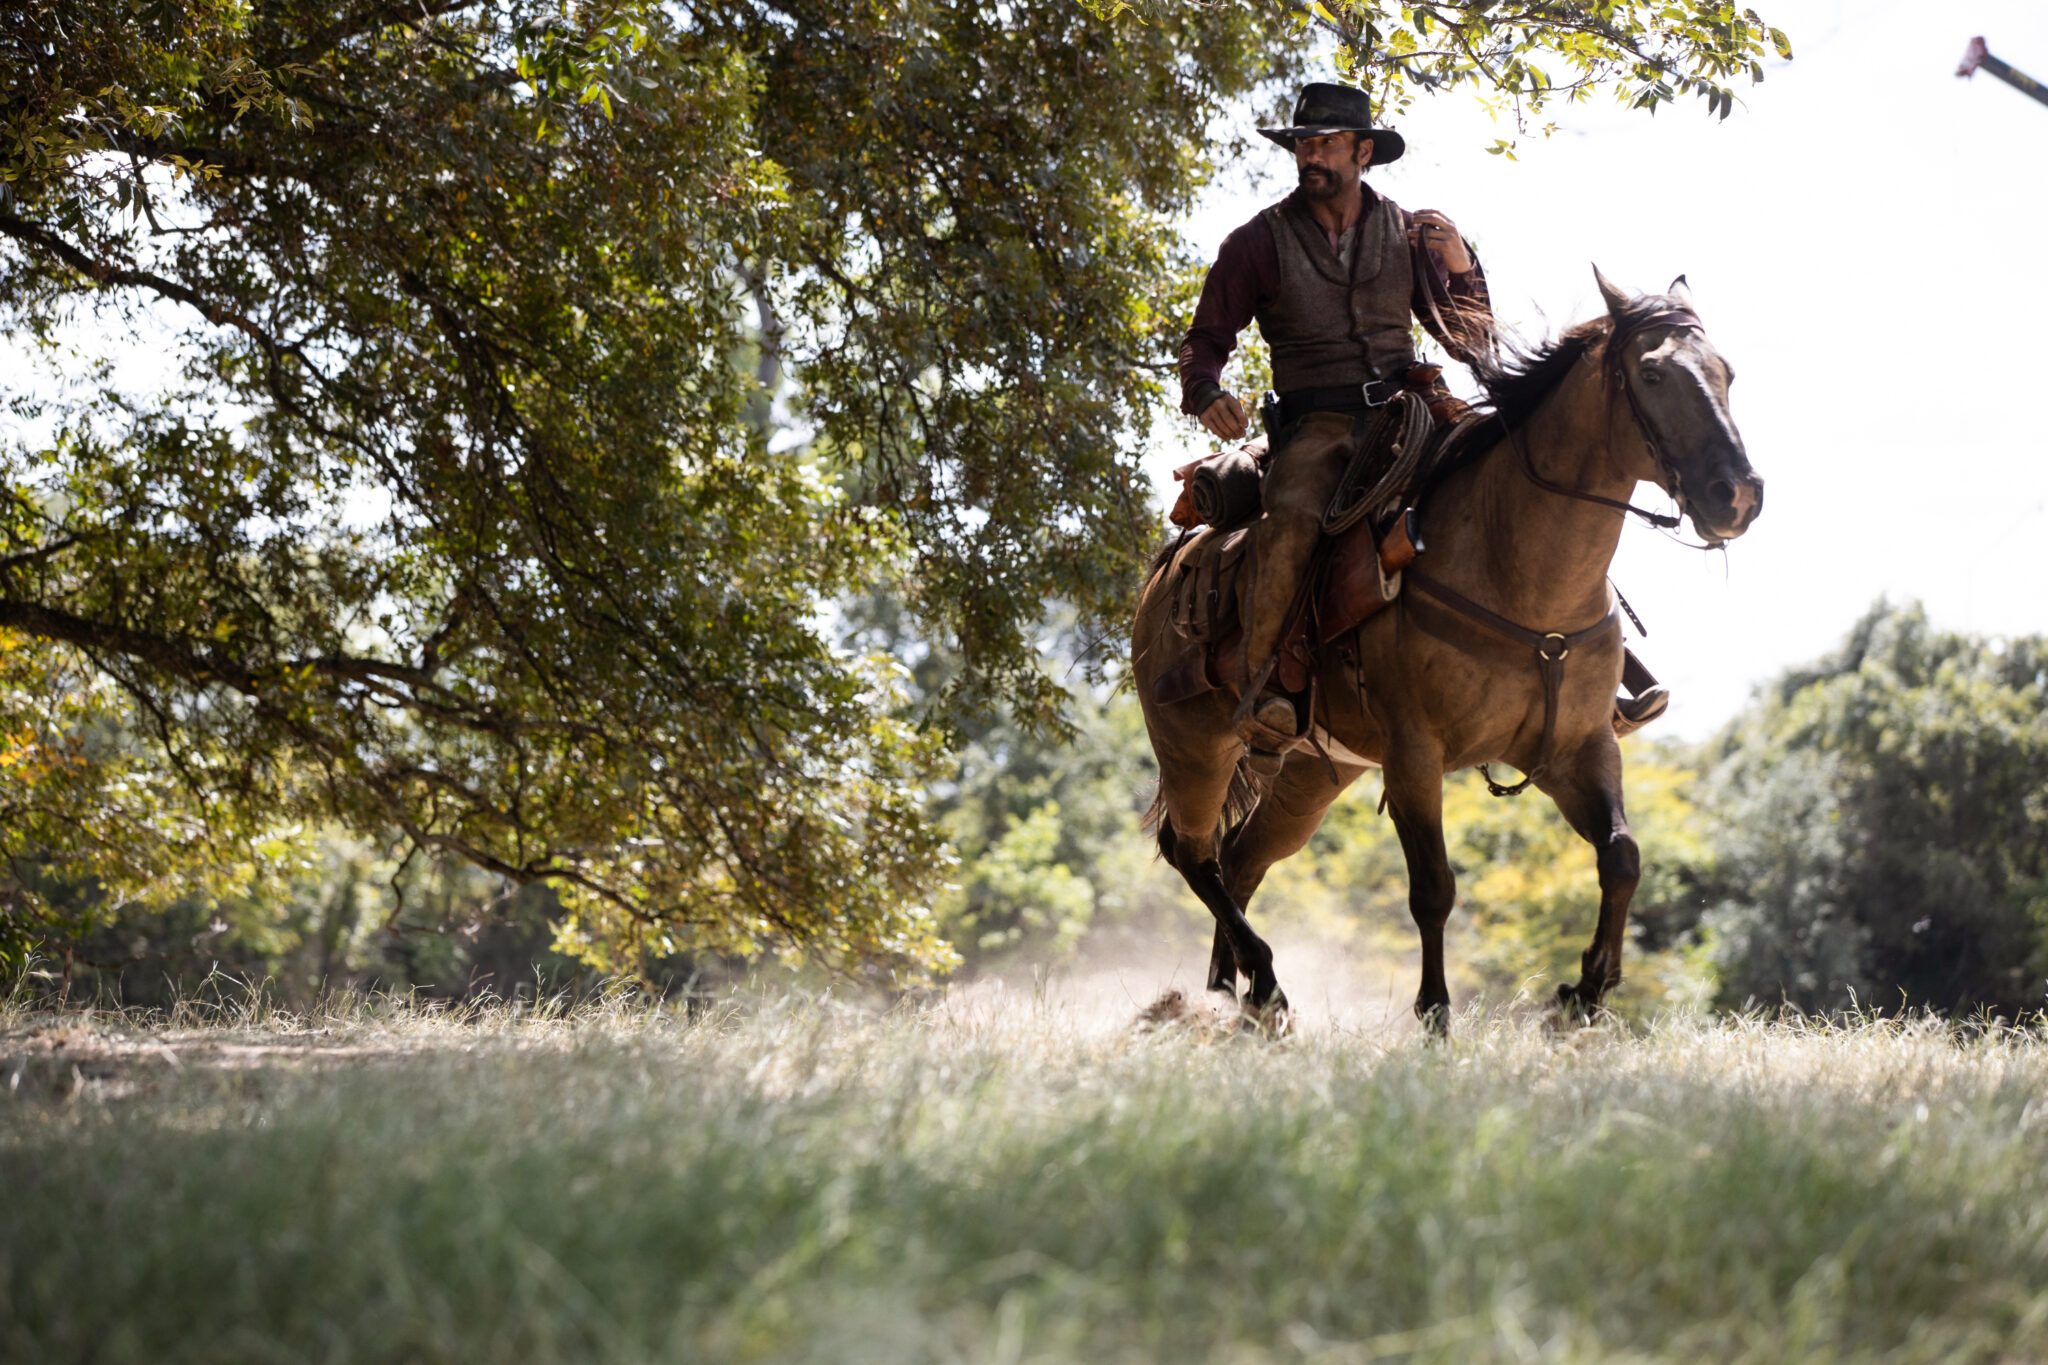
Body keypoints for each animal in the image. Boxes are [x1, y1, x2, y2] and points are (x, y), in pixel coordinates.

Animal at [1138, 272, 1761, 1031]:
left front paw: (1583, 995)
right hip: (1194, 748)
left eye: (1726, 373)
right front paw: (1435, 1012)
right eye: (1651, 373)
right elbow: (1433, 886)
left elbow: (1622, 857)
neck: (1516, 571)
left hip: (1312, 775)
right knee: (1193, 852)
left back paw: (1240, 990)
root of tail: (1164, 575)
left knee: (1241, 857)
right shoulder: (1414, 754)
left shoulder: (1576, 749)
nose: (1738, 496)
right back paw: (1259, 984)